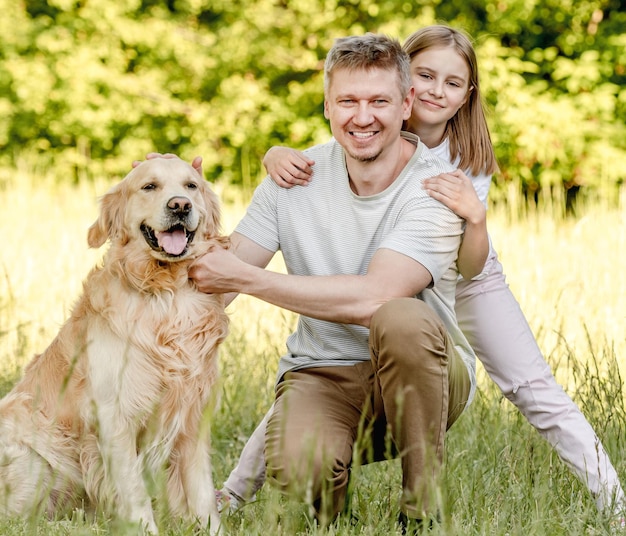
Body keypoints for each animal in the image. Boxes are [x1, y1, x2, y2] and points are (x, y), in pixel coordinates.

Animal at [0, 157, 228, 532]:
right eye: (149, 186)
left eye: (191, 186)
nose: (181, 205)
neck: (167, 294)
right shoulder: (114, 417)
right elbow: (135, 493)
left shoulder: (192, 415)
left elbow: (202, 494)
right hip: (35, 458)